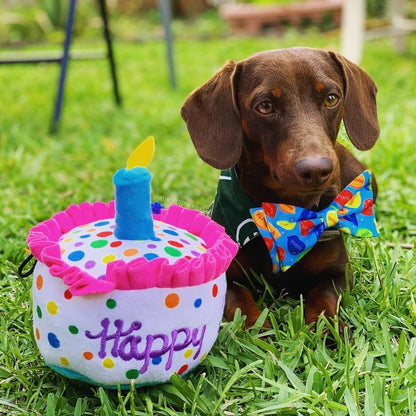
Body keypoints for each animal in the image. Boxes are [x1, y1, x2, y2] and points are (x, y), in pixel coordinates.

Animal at [180, 48, 378, 334]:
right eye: (265, 106)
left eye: (331, 98)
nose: (317, 169)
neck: (287, 211)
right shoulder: (227, 276)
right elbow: (240, 302)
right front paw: (259, 330)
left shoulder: (338, 273)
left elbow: (323, 298)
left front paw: (328, 331)